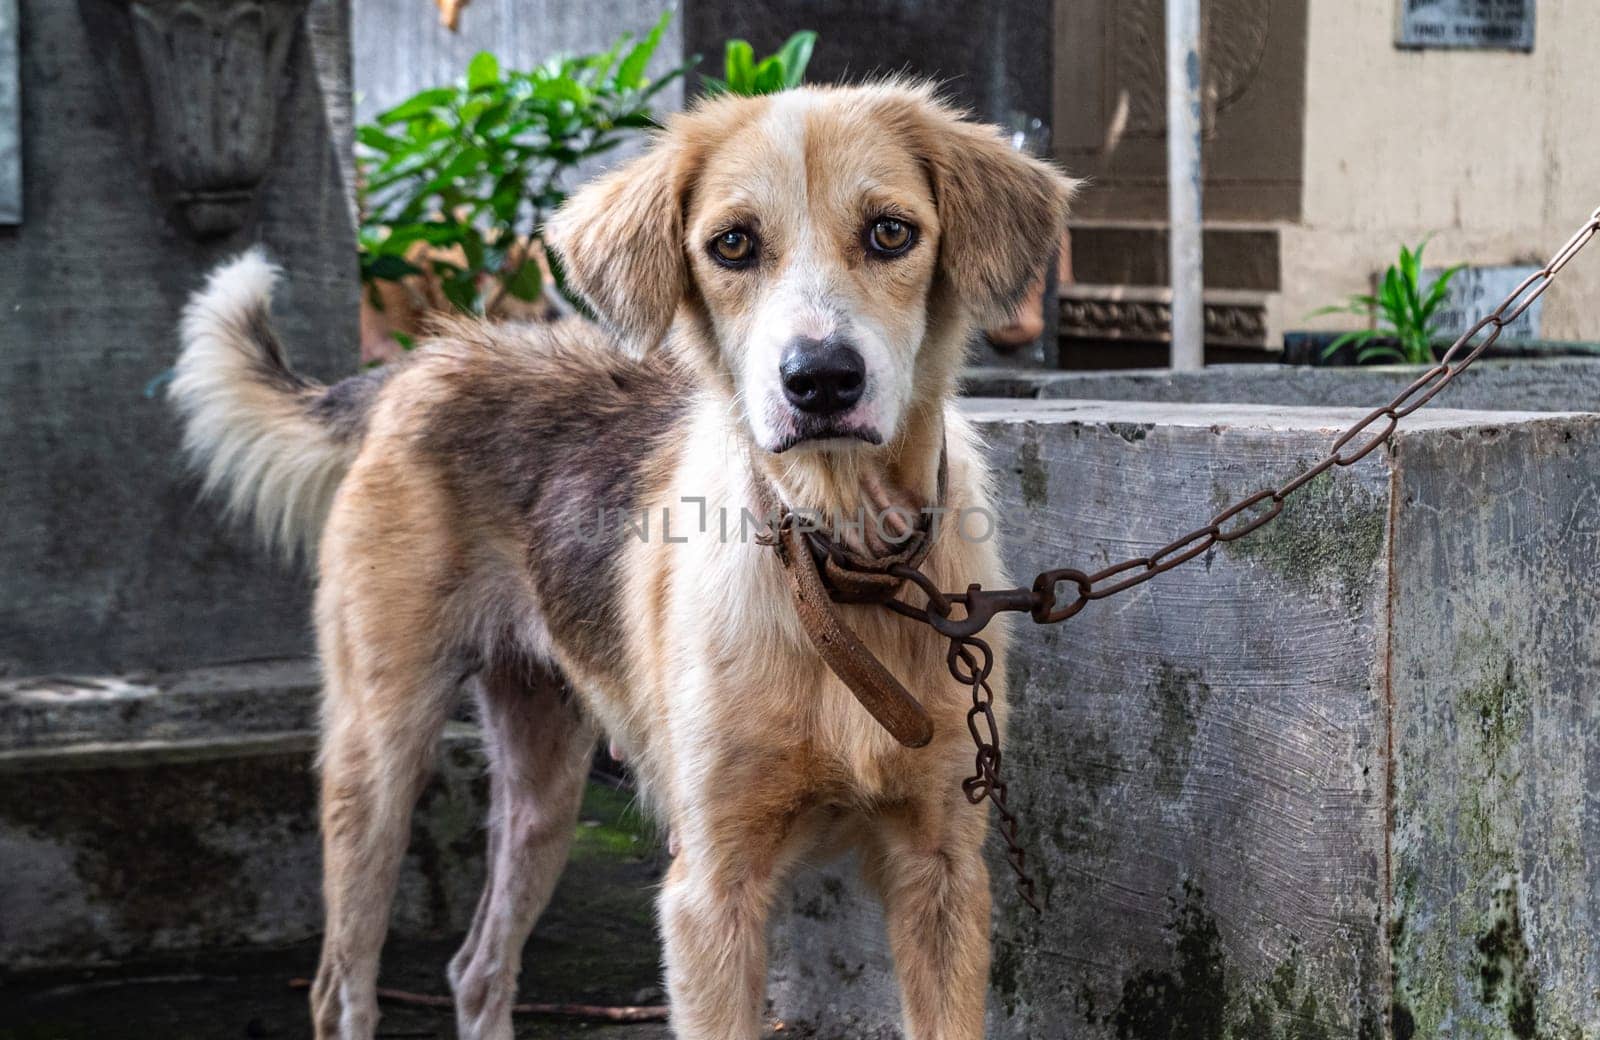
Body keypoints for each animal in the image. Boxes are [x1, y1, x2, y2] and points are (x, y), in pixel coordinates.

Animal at [168, 83, 1075, 1036]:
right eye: (733, 244)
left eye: (892, 233)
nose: (821, 380)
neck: (836, 567)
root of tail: (422, 363)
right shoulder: (709, 890)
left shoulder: (942, 873)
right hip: (376, 763)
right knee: (341, 986)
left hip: (542, 786)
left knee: (477, 969)